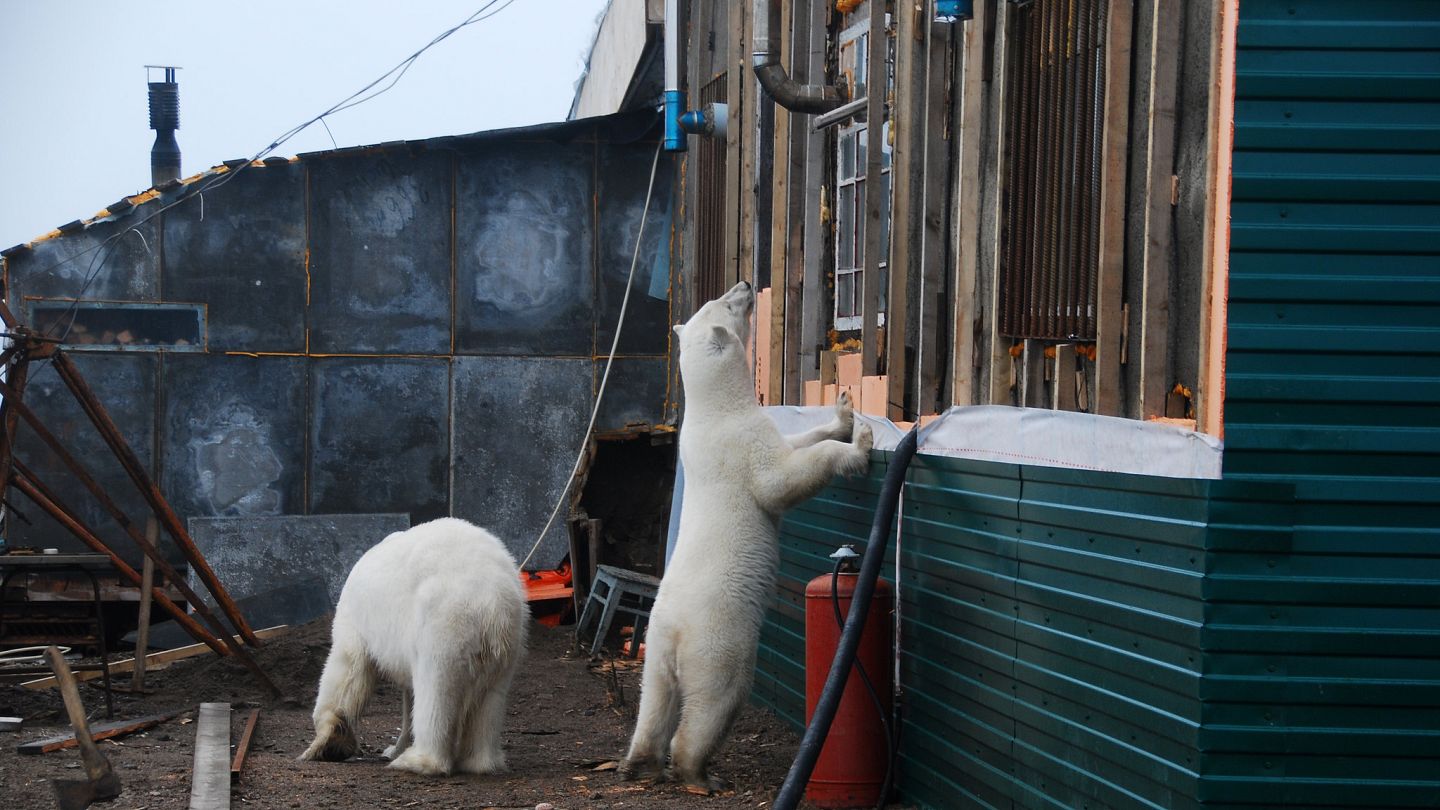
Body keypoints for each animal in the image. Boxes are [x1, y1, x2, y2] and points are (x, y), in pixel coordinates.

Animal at [299, 515, 529, 778]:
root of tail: (492, 603)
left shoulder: (356, 619)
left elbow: (348, 666)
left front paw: (326, 744)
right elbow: (407, 694)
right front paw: (393, 747)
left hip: (443, 623)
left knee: (436, 690)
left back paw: (416, 760)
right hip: (507, 640)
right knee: (490, 698)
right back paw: (480, 762)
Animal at [616, 279, 864, 789]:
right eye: (729, 304)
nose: (746, 284)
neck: (714, 410)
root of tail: (674, 635)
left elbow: (794, 442)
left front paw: (844, 412)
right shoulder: (740, 446)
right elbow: (780, 480)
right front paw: (857, 448)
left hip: (656, 645)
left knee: (655, 698)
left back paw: (639, 760)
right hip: (717, 640)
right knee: (715, 700)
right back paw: (698, 773)